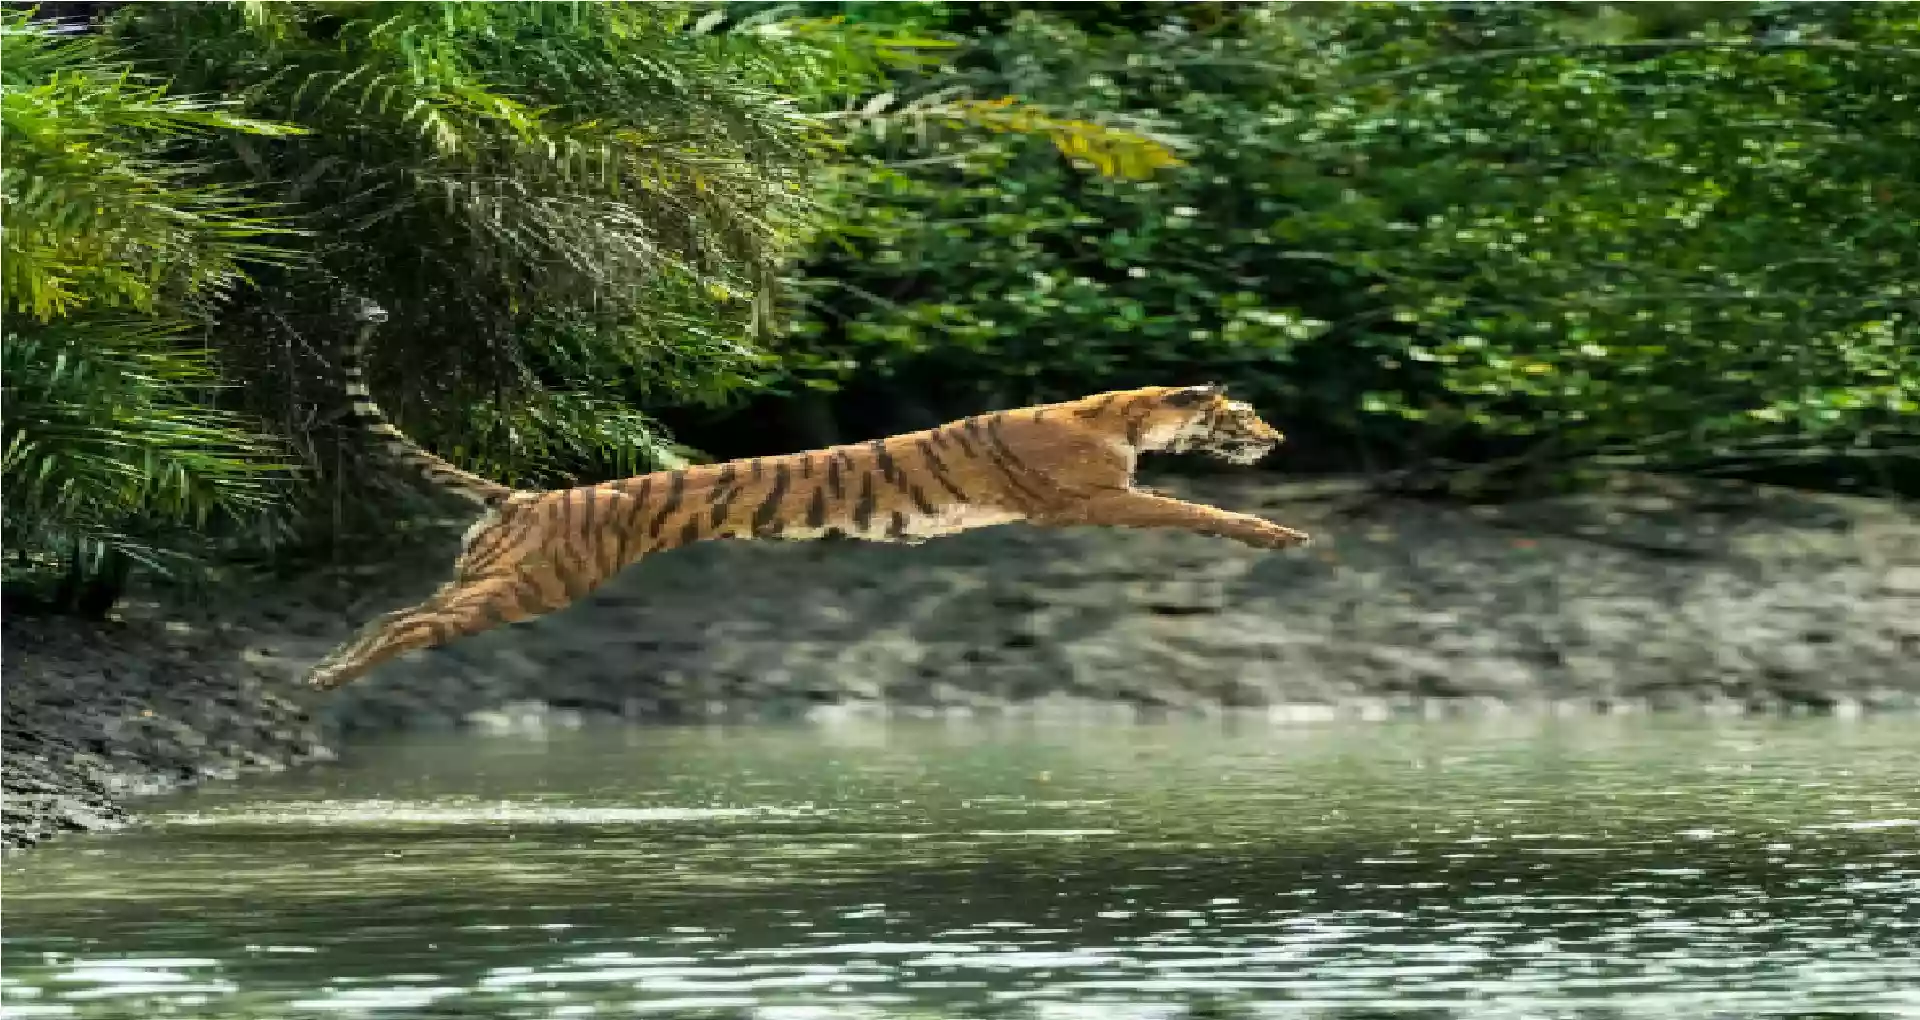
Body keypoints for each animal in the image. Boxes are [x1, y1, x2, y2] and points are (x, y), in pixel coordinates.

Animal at [306, 321, 1311, 692]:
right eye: (1244, 412)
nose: (1277, 438)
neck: (1132, 418)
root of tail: (522, 494)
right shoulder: (1096, 500)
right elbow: (1195, 513)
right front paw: (1281, 532)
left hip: (495, 572)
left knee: (401, 610)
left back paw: (327, 667)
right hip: (536, 583)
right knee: (414, 622)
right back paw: (338, 677)